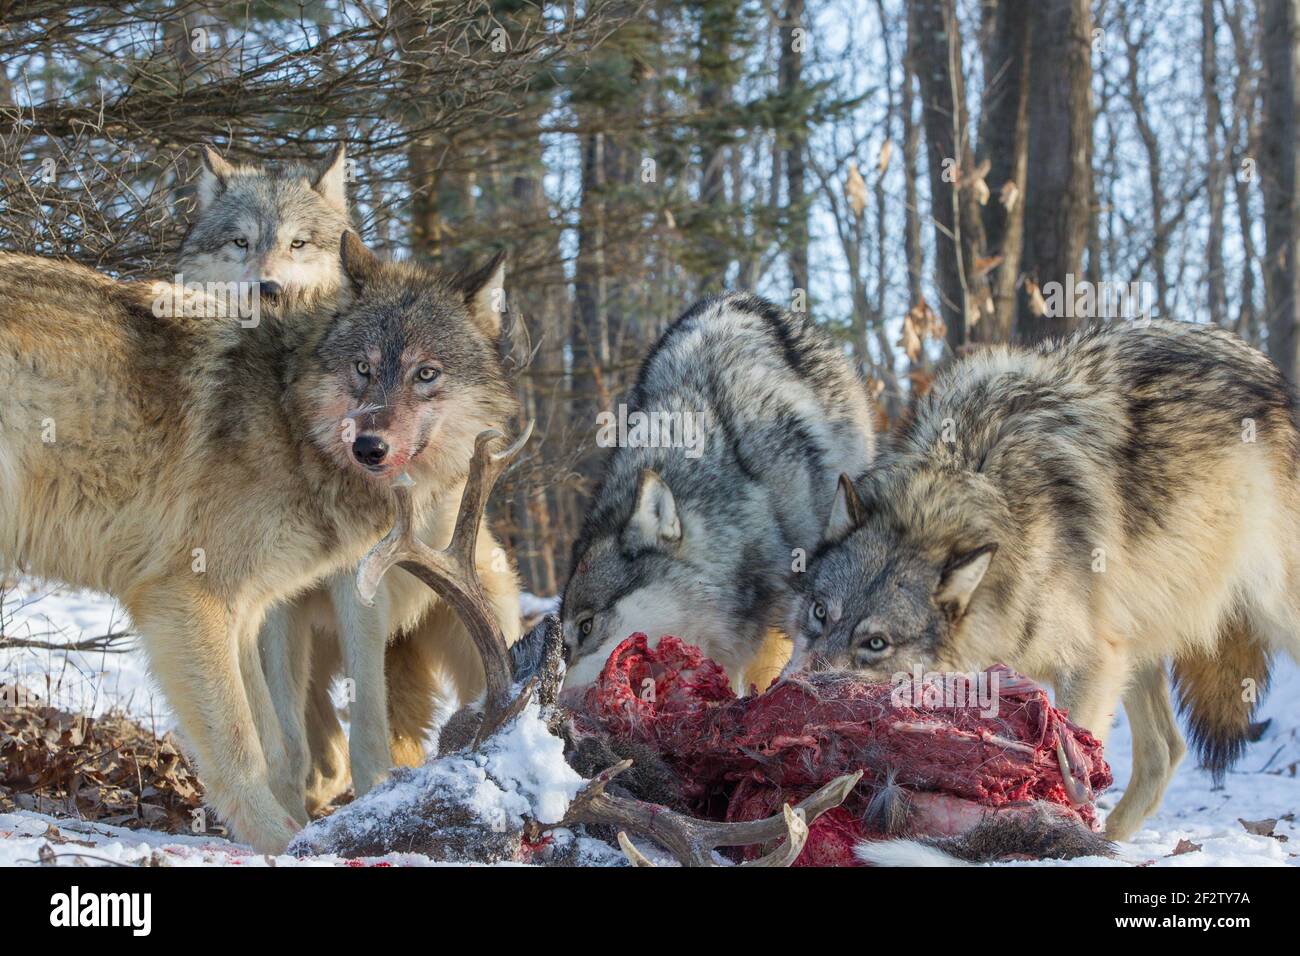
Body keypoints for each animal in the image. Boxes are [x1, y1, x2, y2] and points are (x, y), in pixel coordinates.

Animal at [780, 319, 1300, 837]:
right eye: (820, 613)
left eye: (876, 644)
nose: (797, 695)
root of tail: (1266, 368)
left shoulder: (1092, 664)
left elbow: (1072, 758)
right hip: (1133, 642)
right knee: (1165, 753)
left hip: (1264, 615)